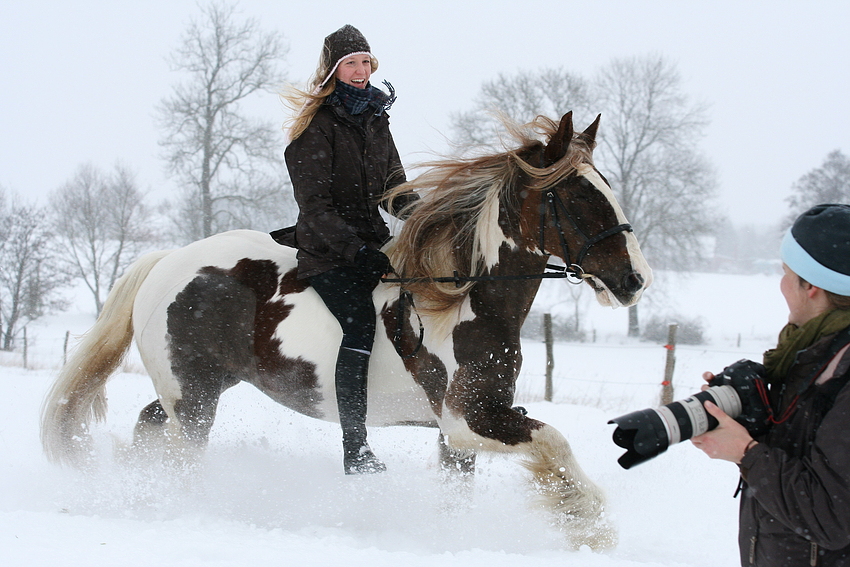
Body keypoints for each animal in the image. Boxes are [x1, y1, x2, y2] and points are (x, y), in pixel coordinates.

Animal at [39, 112, 648, 552]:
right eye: (575, 196)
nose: (635, 280)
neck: (463, 302)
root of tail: (166, 262)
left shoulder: (459, 431)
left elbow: (463, 492)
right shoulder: (466, 417)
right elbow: (555, 442)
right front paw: (589, 523)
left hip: (195, 388)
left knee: (148, 427)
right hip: (195, 400)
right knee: (180, 456)